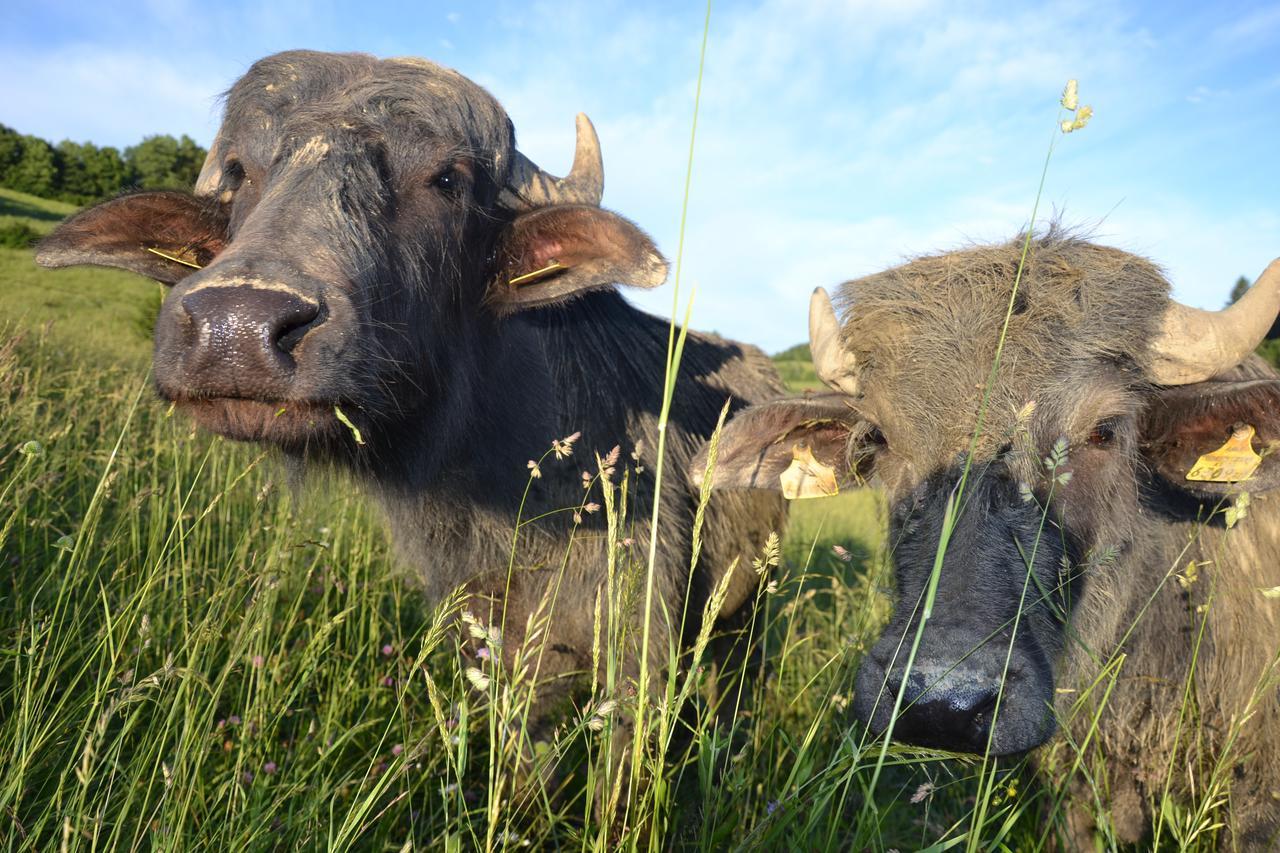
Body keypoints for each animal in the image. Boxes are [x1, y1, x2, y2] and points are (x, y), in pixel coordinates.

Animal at [37, 49, 778, 783]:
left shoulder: (640, 659)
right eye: (243, 170)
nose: (236, 325)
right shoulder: (494, 654)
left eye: (447, 178)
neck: (513, 497)